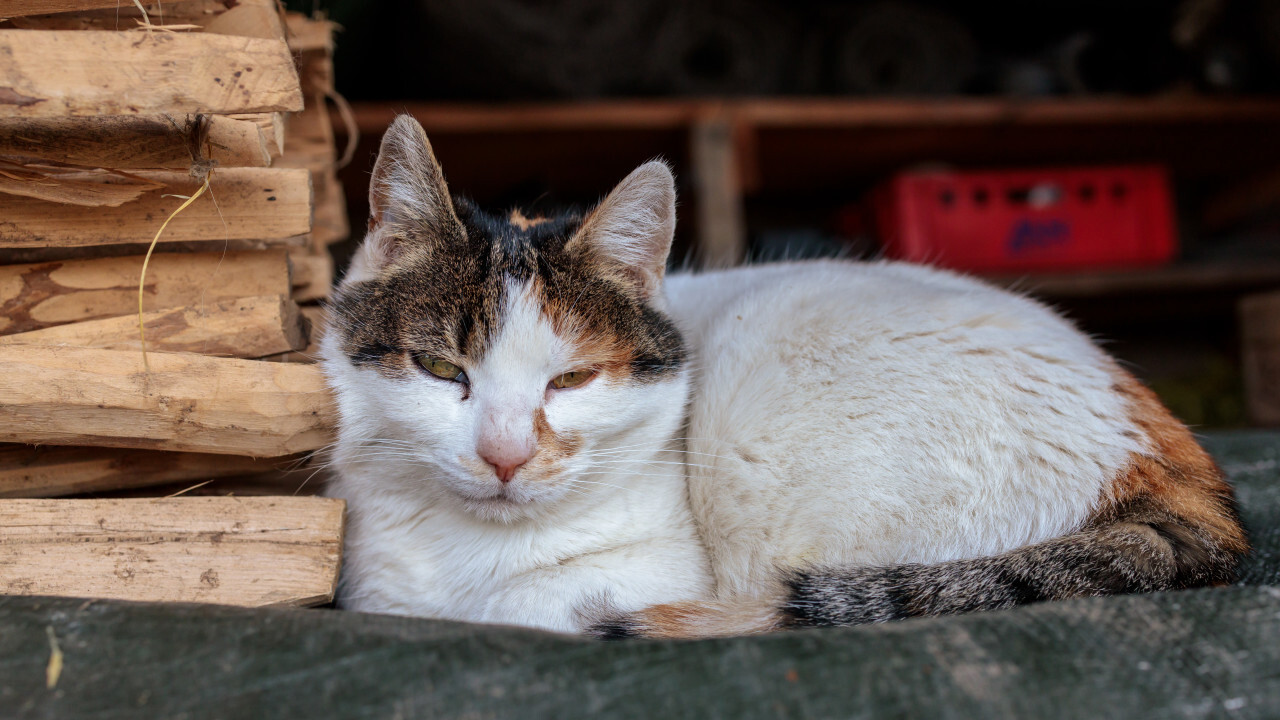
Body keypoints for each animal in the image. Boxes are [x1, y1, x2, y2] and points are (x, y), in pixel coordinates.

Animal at [322, 114, 1249, 635]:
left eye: (572, 380)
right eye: (440, 367)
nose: (506, 455)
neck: (462, 552)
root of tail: (1178, 470)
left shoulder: (650, 578)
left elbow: (530, 608)